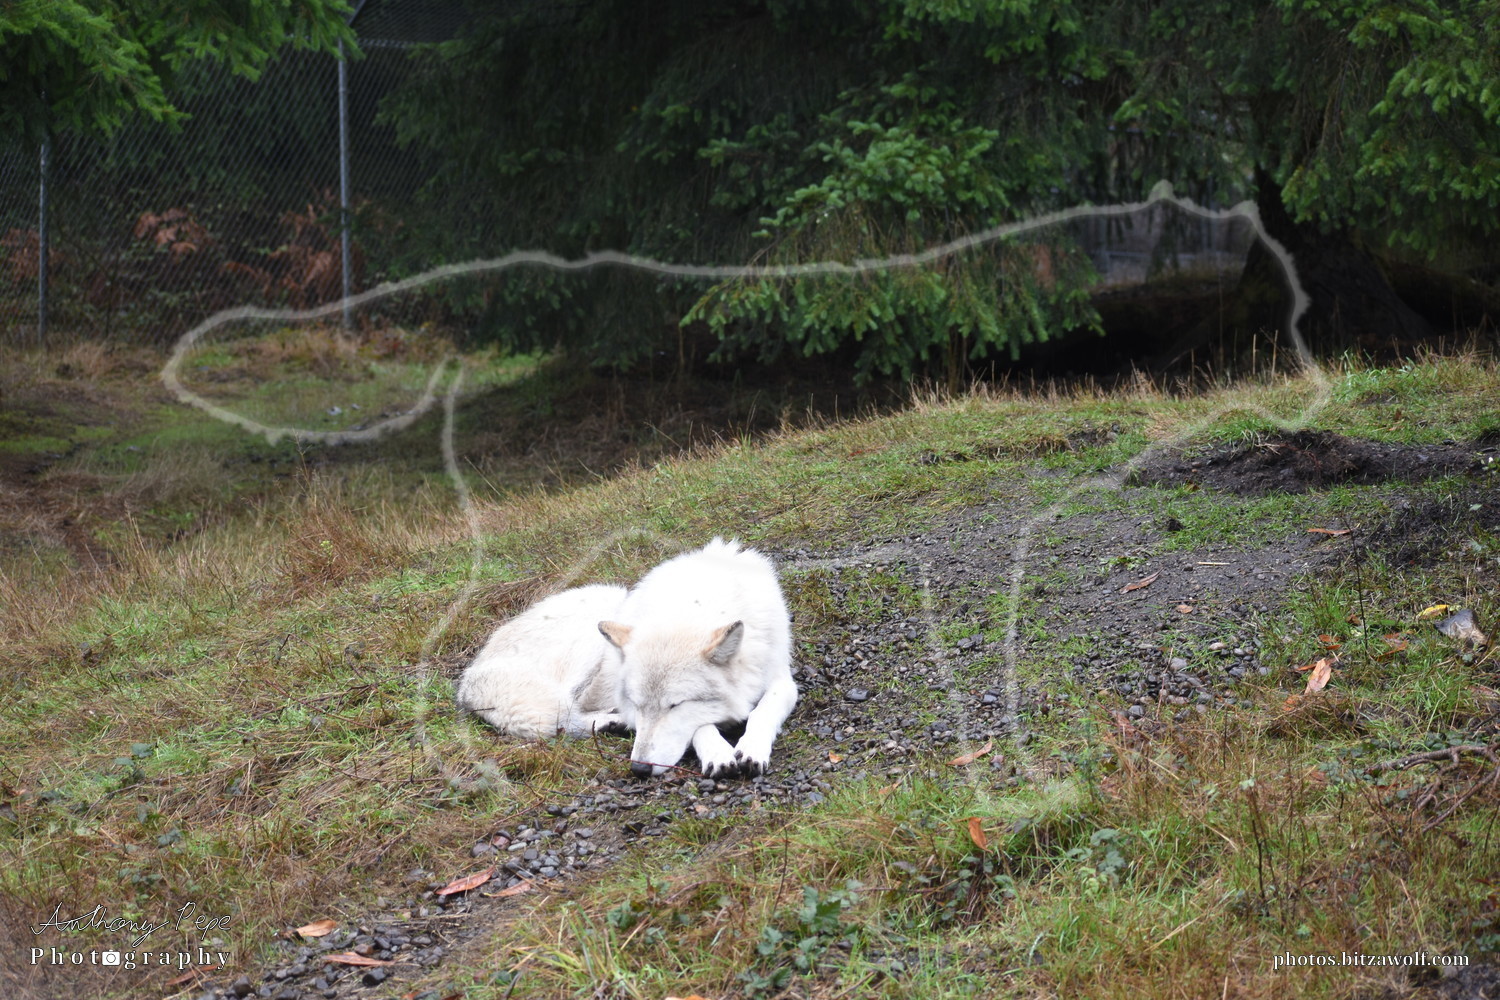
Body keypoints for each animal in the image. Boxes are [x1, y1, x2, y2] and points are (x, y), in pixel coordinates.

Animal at [455, 538, 798, 779]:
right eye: (638, 704)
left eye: (675, 705)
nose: (639, 770)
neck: (695, 601)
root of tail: (470, 678)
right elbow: (701, 726)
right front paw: (717, 754)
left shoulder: (782, 679)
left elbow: (762, 711)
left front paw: (751, 749)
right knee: (562, 717)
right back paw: (613, 721)